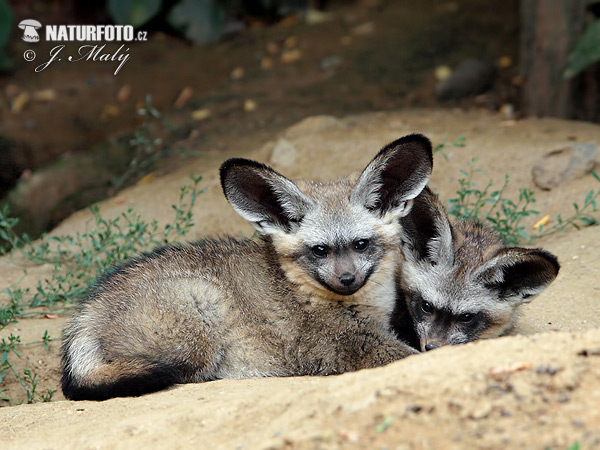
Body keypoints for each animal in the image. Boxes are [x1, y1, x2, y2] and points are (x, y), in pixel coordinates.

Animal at [63, 132, 434, 400]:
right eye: (319, 250)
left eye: (361, 244)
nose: (347, 279)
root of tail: (86, 315)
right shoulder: (349, 346)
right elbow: (416, 355)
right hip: (199, 321)